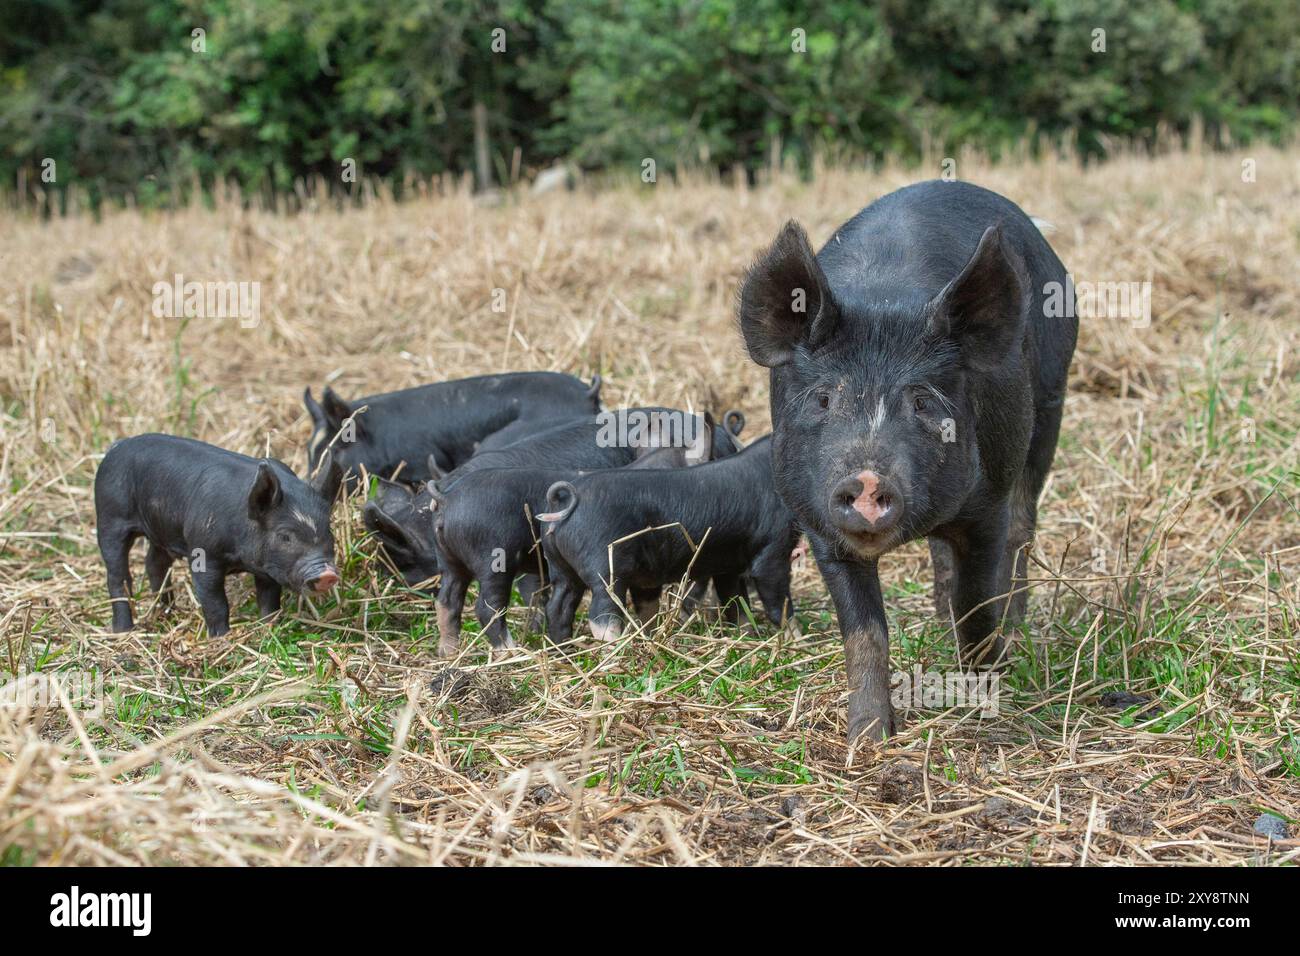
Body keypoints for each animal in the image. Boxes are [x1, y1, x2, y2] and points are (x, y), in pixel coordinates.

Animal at [738, 183, 1081, 743]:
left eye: (922, 401)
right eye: (824, 399)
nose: (867, 479)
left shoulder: (986, 506)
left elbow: (975, 609)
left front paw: (985, 710)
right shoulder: (817, 522)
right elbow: (863, 630)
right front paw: (867, 738)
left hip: (1051, 402)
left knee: (1022, 528)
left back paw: (1015, 629)